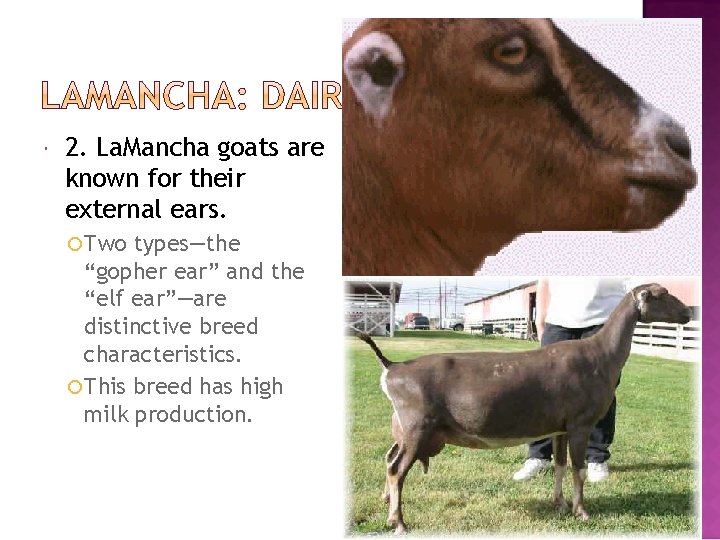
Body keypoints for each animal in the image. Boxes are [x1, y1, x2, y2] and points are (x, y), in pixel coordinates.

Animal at [358, 284, 691, 533]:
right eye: (663, 294)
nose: (688, 311)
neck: (600, 355)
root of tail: (392, 367)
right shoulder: (580, 423)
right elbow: (579, 469)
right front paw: (582, 512)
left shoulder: (560, 427)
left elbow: (560, 465)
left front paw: (559, 505)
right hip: (417, 426)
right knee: (397, 470)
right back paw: (399, 522)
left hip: (403, 427)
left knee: (389, 460)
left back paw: (387, 507)